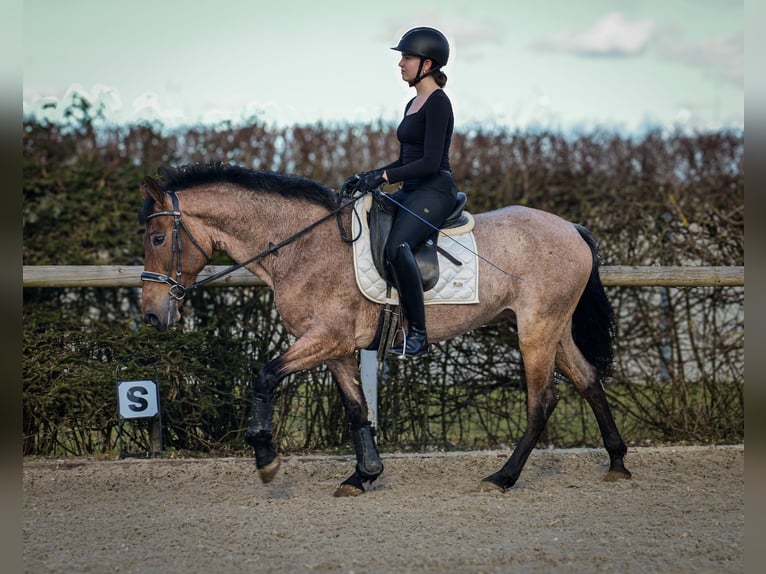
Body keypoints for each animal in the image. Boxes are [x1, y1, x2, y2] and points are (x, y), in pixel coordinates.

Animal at [141, 163, 632, 500]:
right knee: (589, 380)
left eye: (158, 239)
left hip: (536, 328)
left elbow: (265, 376)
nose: (151, 316)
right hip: (552, 327)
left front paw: (265, 457)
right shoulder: (335, 347)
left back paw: (503, 477)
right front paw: (363, 475)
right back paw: (617, 462)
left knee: (542, 400)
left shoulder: (325, 338)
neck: (302, 246)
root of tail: (571, 227)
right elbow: (357, 409)